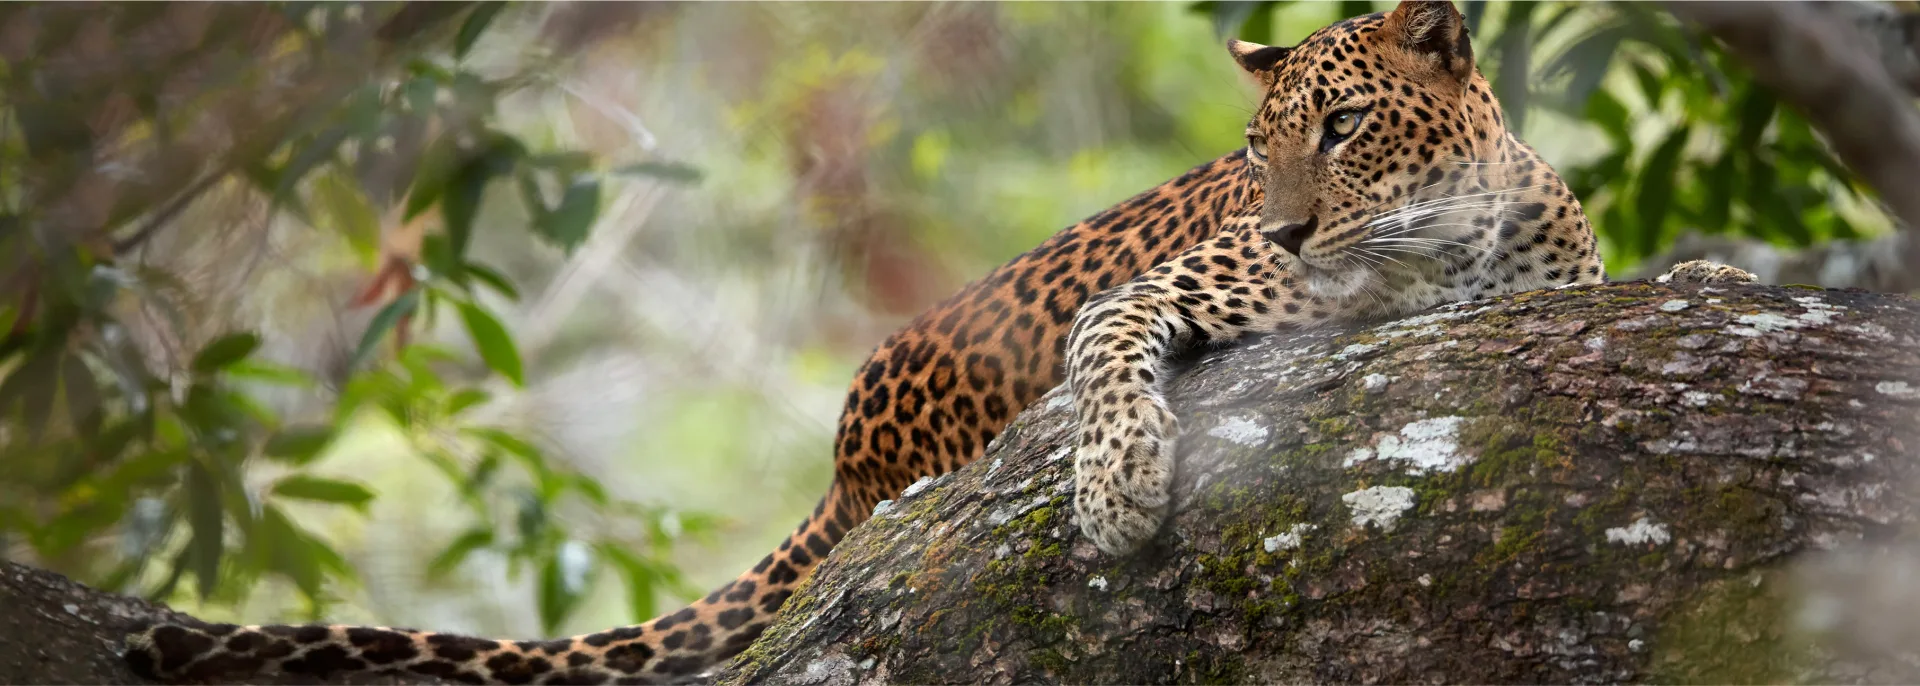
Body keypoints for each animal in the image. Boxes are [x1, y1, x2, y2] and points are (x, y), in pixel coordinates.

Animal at [116, 2, 1743, 680]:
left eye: (1342, 129)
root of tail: (845, 460)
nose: (1287, 231)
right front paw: (1118, 490)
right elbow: (1112, 365)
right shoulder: (1155, 292)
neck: (1445, 239)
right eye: (1259, 148)